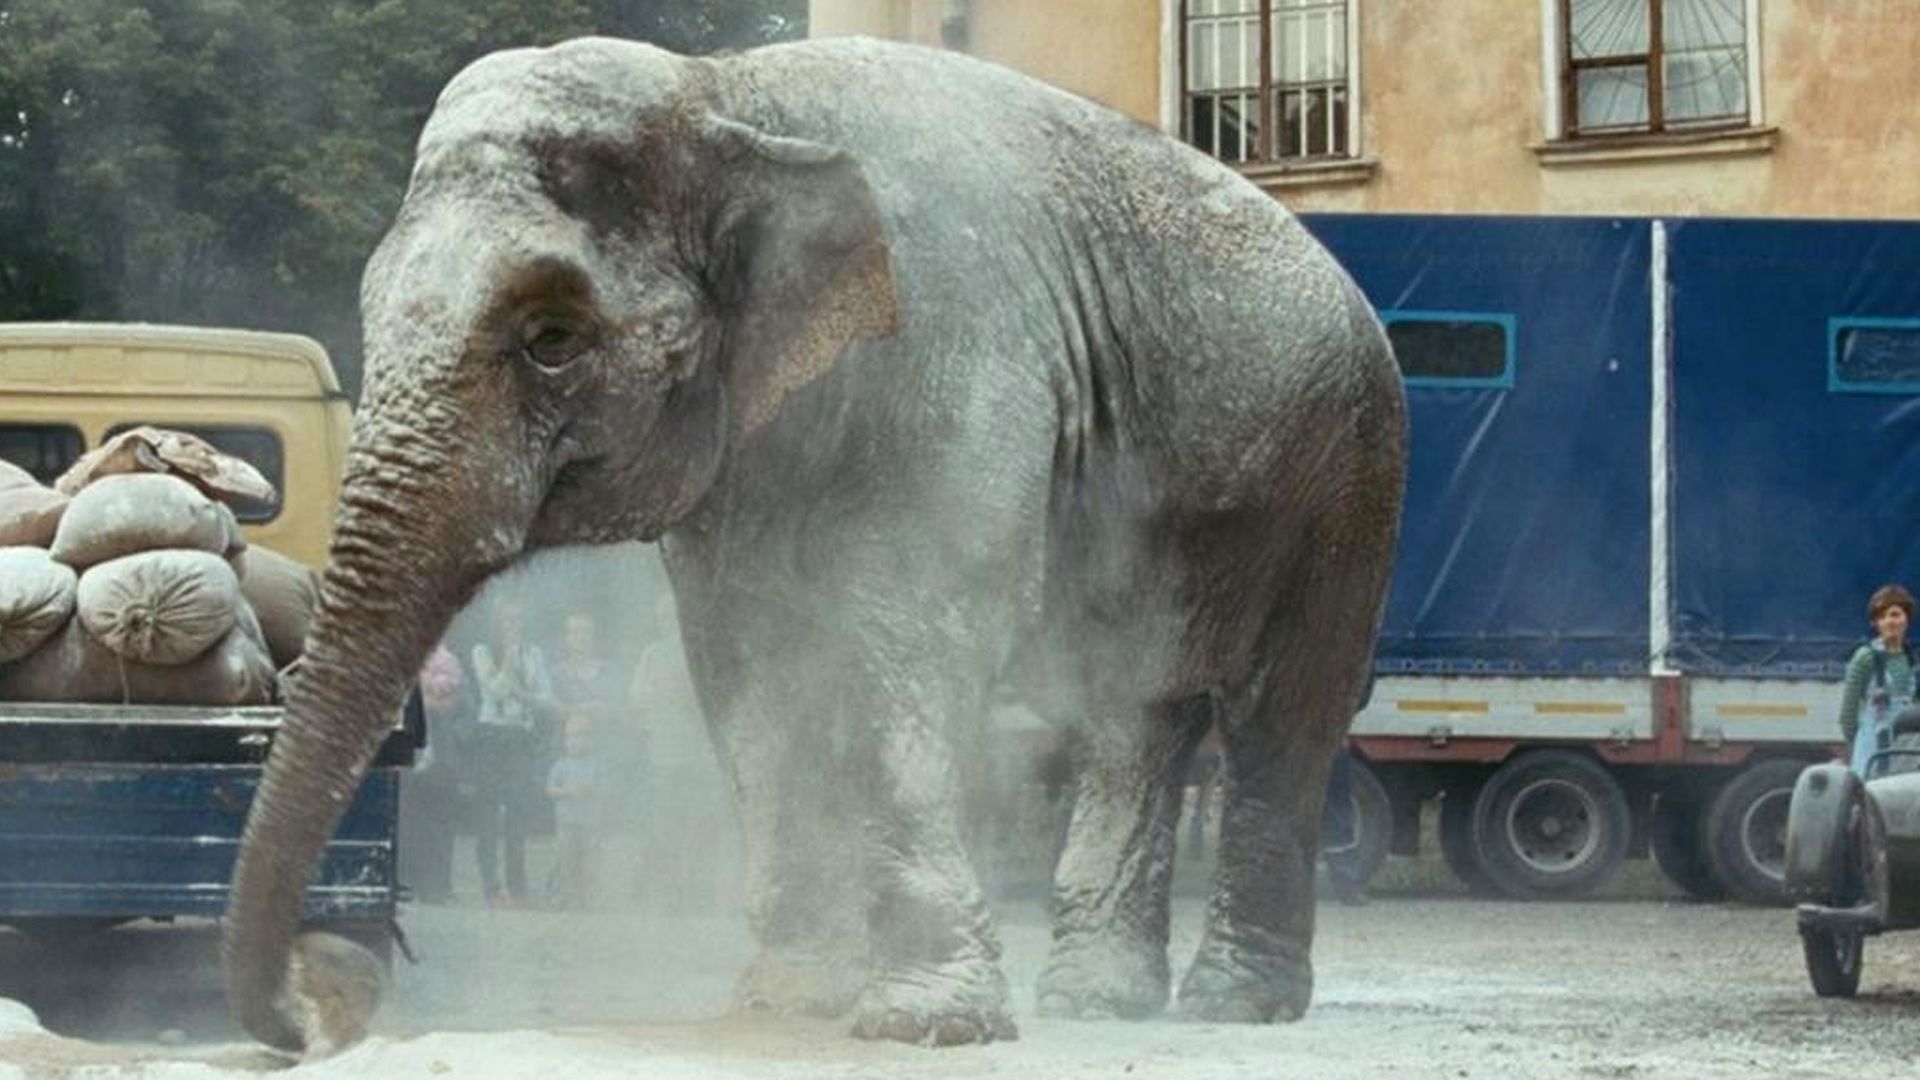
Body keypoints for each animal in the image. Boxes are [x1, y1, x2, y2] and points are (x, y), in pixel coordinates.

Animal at [221, 35, 1405, 1055]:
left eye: (550, 339)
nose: (318, 1006)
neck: (725, 94)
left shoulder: (957, 350)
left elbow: (905, 644)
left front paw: (925, 1025)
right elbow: (747, 669)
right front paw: (790, 1002)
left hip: (1347, 478)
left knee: (1279, 717)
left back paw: (1232, 1005)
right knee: (1135, 714)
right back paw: (1099, 1003)